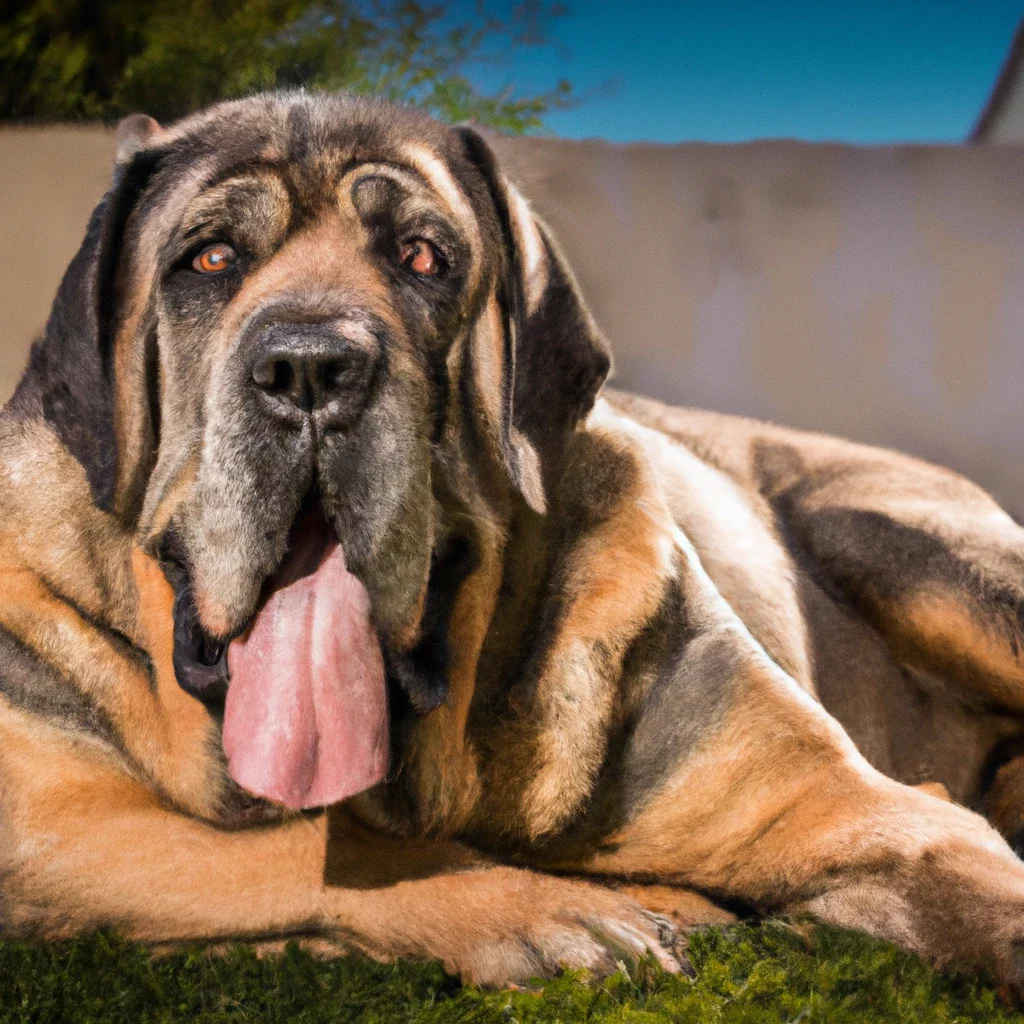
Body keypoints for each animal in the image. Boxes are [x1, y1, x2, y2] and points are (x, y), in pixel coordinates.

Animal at [4, 90, 1024, 991]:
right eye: (210, 258)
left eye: (424, 257)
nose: (310, 368)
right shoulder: (45, 807)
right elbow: (293, 847)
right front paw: (550, 913)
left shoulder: (842, 807)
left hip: (917, 557)